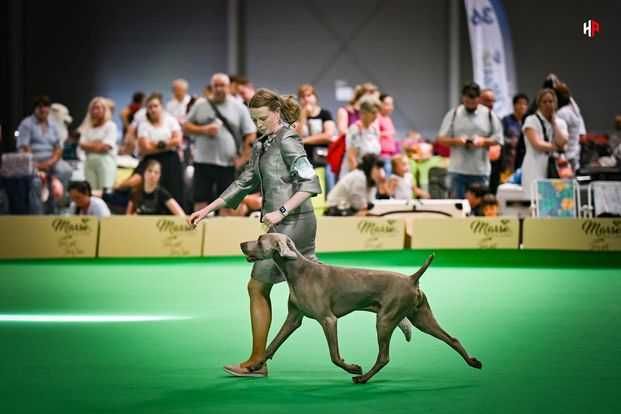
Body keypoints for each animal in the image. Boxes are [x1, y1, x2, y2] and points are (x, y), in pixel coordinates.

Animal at [240, 234, 482, 384]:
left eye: (260, 239)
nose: (242, 244)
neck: (299, 271)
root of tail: (412, 278)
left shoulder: (328, 320)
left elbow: (334, 356)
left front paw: (353, 367)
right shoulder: (293, 318)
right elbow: (271, 345)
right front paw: (255, 365)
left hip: (385, 320)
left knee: (384, 357)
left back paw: (362, 378)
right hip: (421, 318)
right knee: (452, 339)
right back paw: (473, 362)